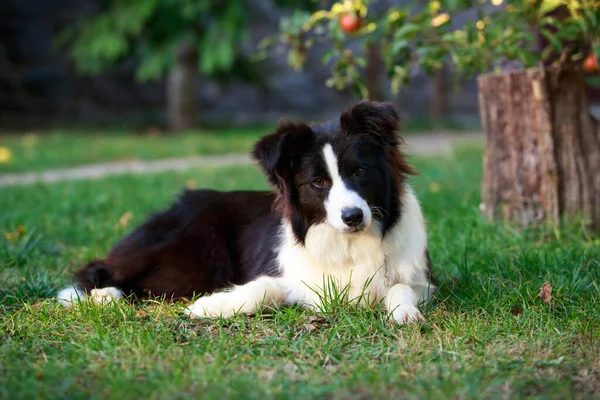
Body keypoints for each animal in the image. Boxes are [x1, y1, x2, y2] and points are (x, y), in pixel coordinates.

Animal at [57, 101, 436, 324]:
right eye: (318, 182)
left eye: (359, 172)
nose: (353, 217)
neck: (348, 244)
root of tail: (180, 203)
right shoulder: (299, 280)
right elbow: (261, 288)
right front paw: (207, 307)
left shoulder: (421, 279)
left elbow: (400, 288)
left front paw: (405, 312)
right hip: (191, 256)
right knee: (102, 268)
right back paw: (101, 295)